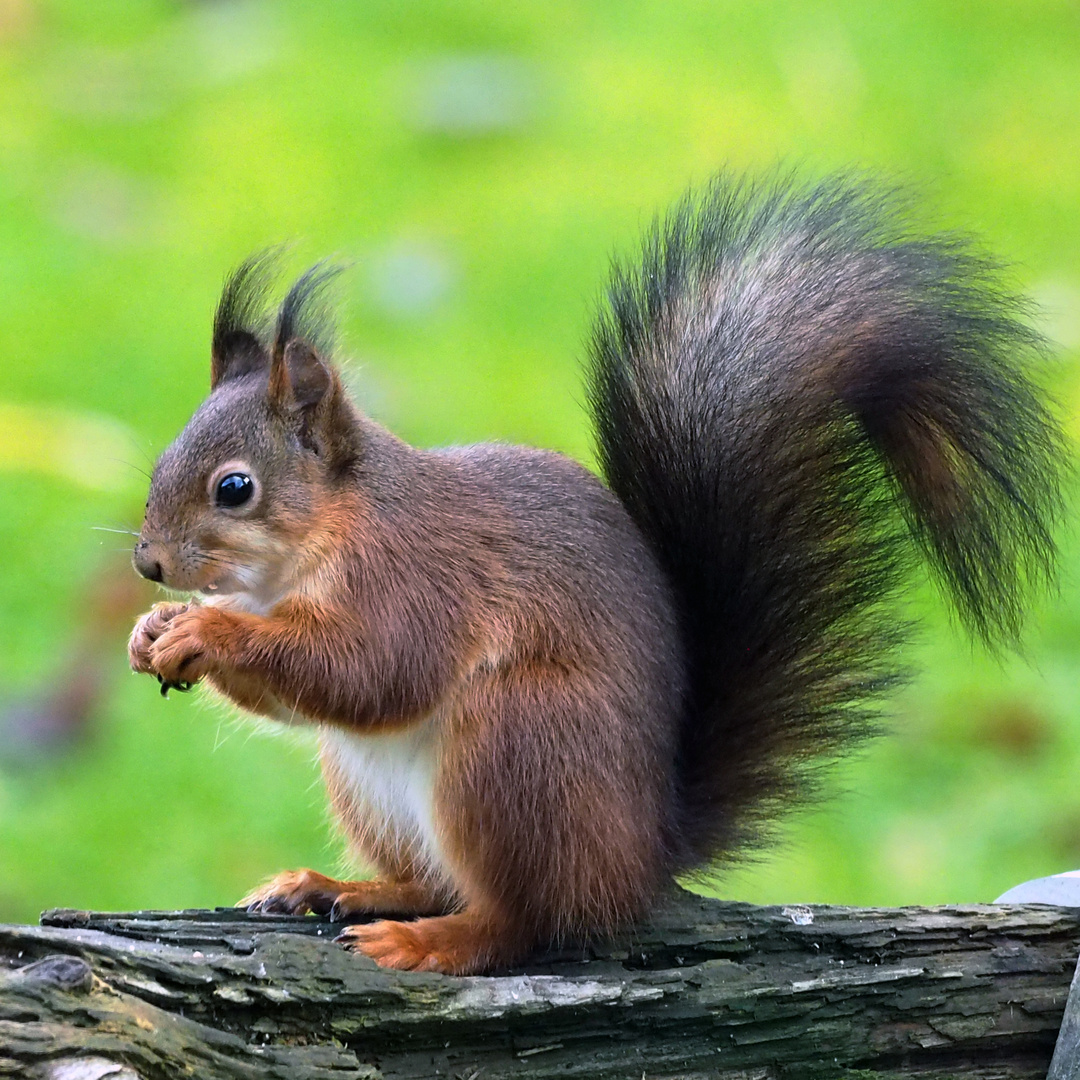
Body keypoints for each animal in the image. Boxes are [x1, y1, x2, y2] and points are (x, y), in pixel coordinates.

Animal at [128, 172, 1062, 975]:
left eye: (235, 488)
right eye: (163, 460)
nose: (148, 562)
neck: (305, 554)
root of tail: (641, 858)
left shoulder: (415, 579)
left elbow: (374, 670)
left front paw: (206, 629)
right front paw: (153, 633)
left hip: (517, 746)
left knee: (522, 920)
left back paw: (431, 942)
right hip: (372, 786)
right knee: (433, 880)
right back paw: (340, 888)